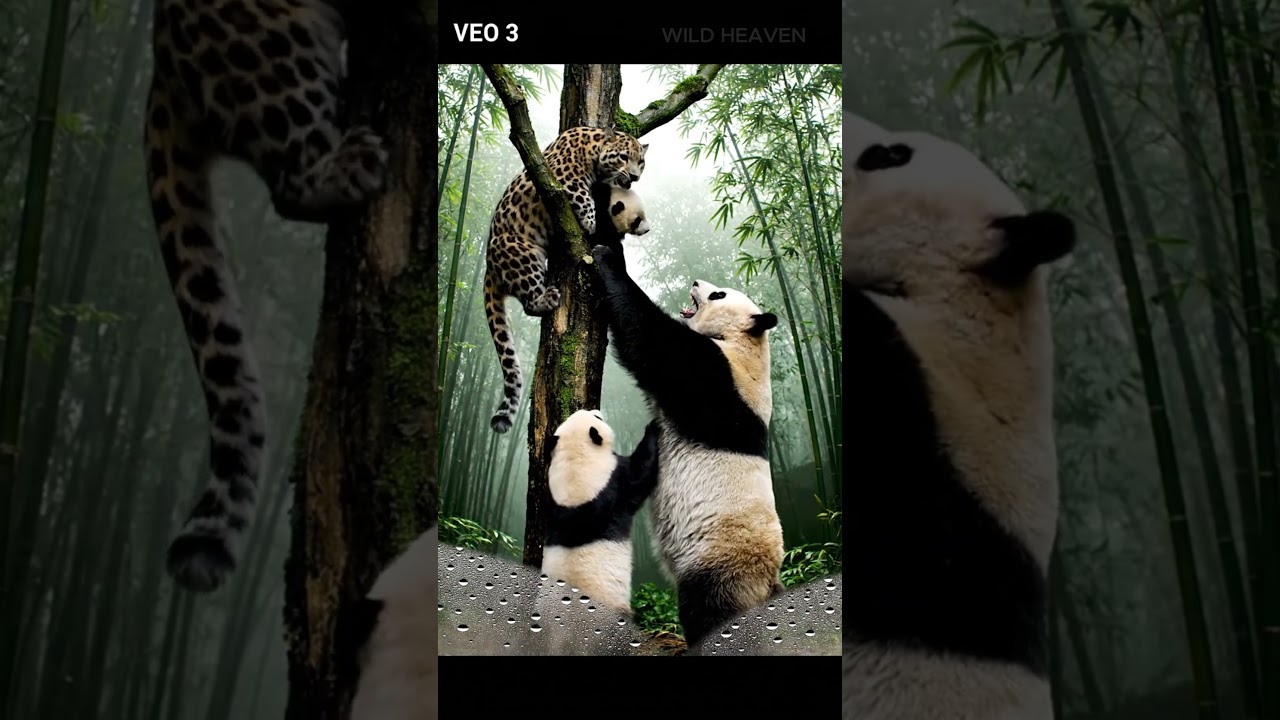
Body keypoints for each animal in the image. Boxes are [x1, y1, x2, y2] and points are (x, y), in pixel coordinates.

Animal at [484, 126, 647, 434]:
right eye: (623, 157)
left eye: (641, 162)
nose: (634, 177)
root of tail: (489, 267)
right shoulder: (562, 179)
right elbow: (581, 196)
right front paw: (590, 221)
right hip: (526, 254)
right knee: (528, 302)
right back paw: (547, 297)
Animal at [541, 409, 660, 616]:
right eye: (597, 418)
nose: (597, 411)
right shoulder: (614, 486)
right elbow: (640, 472)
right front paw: (653, 427)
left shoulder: (555, 505)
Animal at [589, 244, 784, 651]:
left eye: (719, 294)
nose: (695, 281)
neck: (748, 342)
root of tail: (767, 583)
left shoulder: (718, 377)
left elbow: (651, 341)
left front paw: (608, 256)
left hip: (723, 561)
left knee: (710, 609)